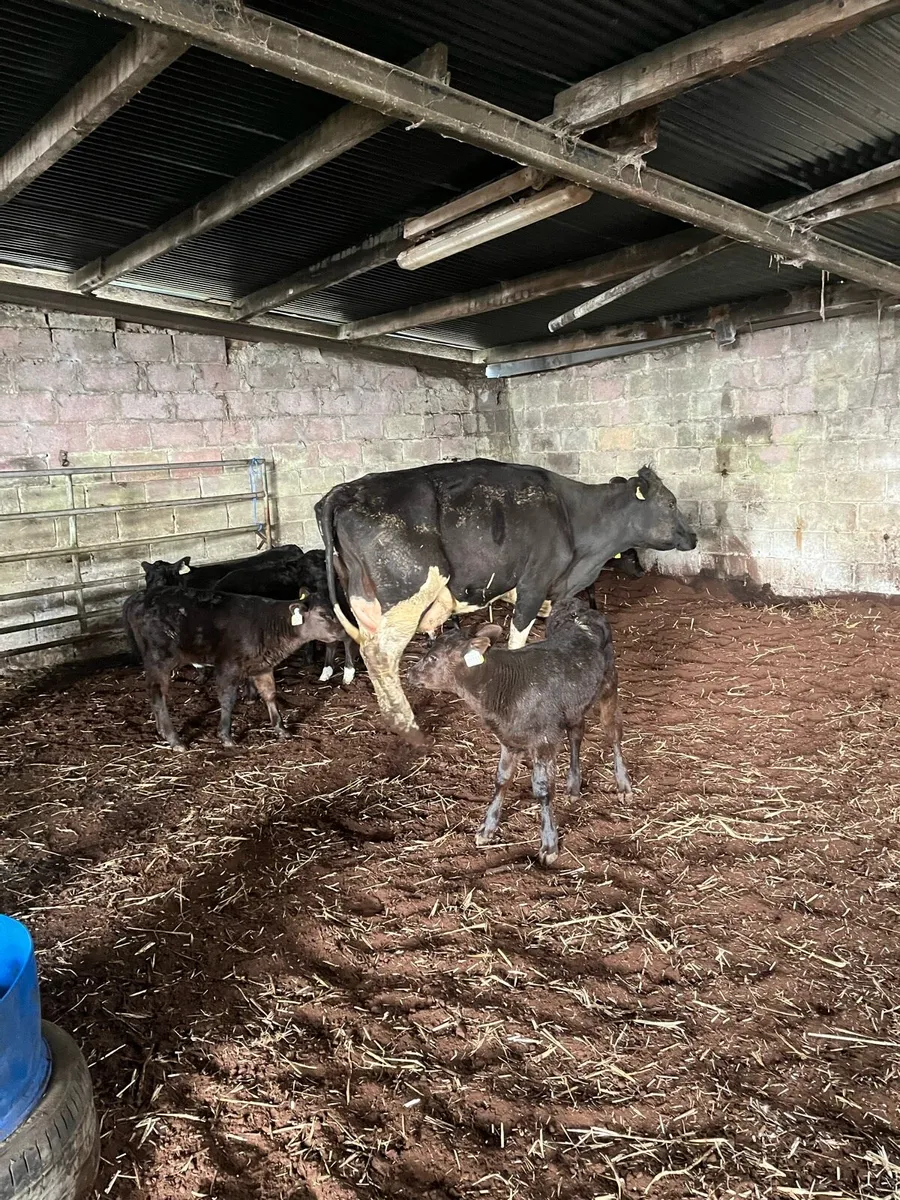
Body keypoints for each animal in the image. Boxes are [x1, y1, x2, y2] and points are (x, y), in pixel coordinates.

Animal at [123, 586, 341, 751]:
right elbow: (228, 699)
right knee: (158, 694)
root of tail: (138, 596)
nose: (342, 631)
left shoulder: (262, 666)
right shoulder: (227, 666)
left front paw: (281, 728)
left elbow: (270, 694)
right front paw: (226, 736)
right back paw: (175, 740)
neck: (268, 625)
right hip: (159, 658)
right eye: (323, 614)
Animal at [316, 459, 696, 742]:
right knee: (379, 655)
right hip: (406, 598)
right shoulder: (533, 584)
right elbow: (518, 639)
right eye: (671, 502)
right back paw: (409, 729)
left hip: (365, 602)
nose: (693, 536)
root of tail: (344, 491)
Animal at [408, 597, 631, 866]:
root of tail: (579, 610)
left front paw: (549, 844)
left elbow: (543, 790)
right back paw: (574, 787)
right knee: (577, 732)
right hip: (574, 705)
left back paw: (623, 786)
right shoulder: (509, 740)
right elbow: (501, 779)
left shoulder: (544, 741)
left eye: (432, 658)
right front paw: (487, 829)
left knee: (613, 733)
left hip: (609, 685)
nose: (410, 673)